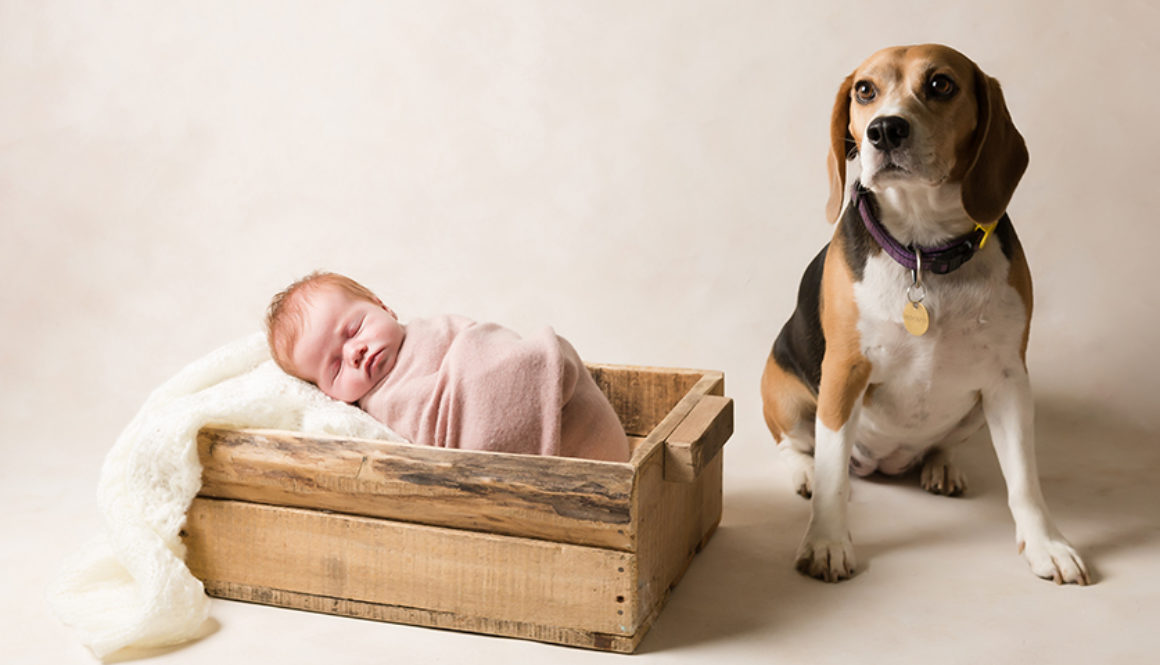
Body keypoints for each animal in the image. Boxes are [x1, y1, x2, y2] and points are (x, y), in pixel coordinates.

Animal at [760, 44, 1085, 582]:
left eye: (940, 85)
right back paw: (804, 471)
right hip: (782, 388)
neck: (922, 248)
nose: (885, 129)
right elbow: (830, 476)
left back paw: (942, 464)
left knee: (943, 443)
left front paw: (1047, 544)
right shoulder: (844, 371)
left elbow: (1024, 479)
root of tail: (885, 462)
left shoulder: (1009, 380)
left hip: (977, 408)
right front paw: (827, 542)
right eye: (864, 90)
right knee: (798, 446)